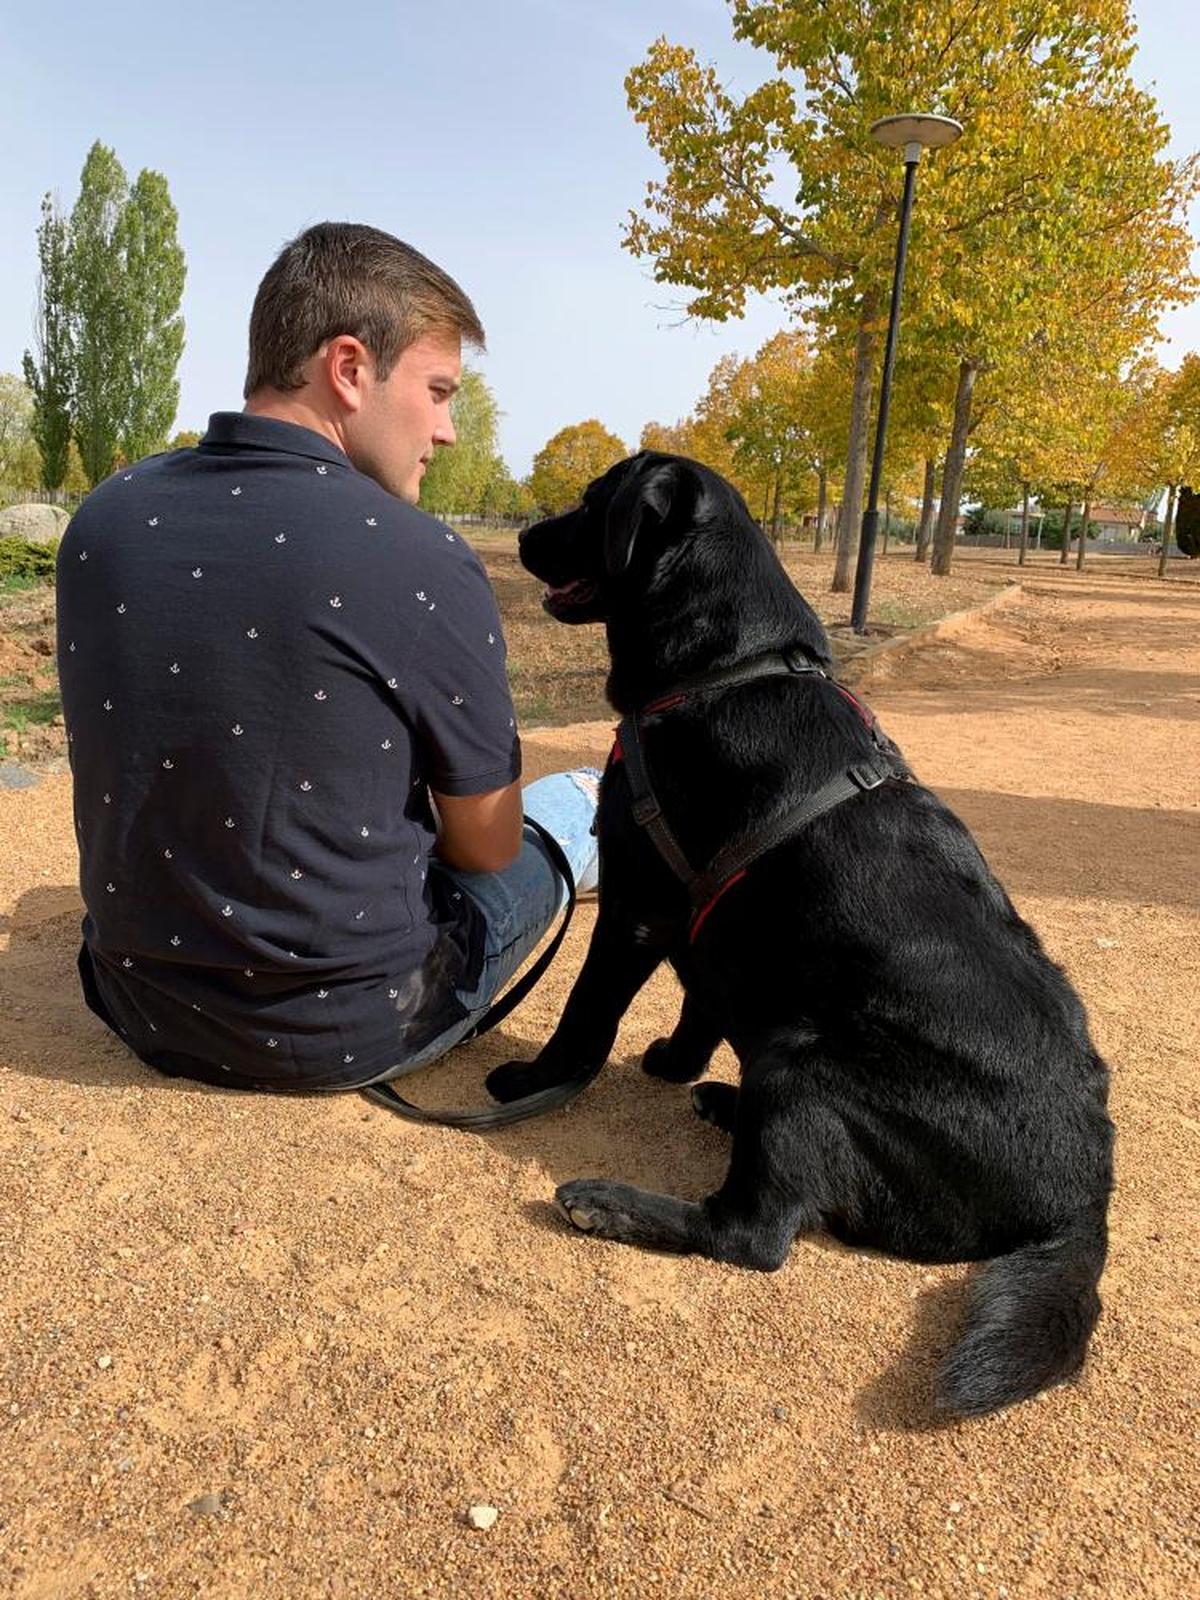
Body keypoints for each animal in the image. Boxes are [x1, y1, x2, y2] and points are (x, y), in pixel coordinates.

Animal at [489, 451, 1120, 1414]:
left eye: (595, 503)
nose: (522, 534)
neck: (729, 668)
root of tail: (1086, 1199)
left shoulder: (636, 902)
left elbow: (585, 1017)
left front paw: (535, 1080)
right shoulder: (705, 924)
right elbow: (703, 999)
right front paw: (678, 1062)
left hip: (802, 1059)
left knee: (752, 1235)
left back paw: (609, 1202)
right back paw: (718, 1100)